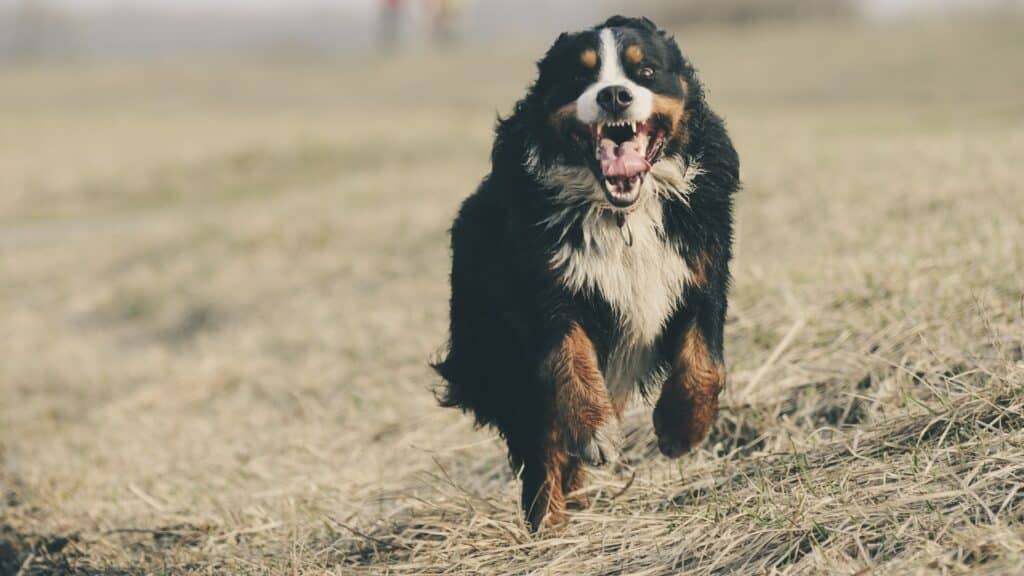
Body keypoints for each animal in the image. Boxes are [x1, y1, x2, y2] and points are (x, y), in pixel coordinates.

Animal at [430, 14, 737, 528]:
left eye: (645, 71)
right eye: (579, 76)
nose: (614, 95)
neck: (622, 216)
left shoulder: (702, 272)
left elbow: (705, 364)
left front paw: (680, 428)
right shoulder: (547, 291)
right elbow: (570, 359)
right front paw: (595, 432)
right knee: (542, 447)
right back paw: (550, 523)